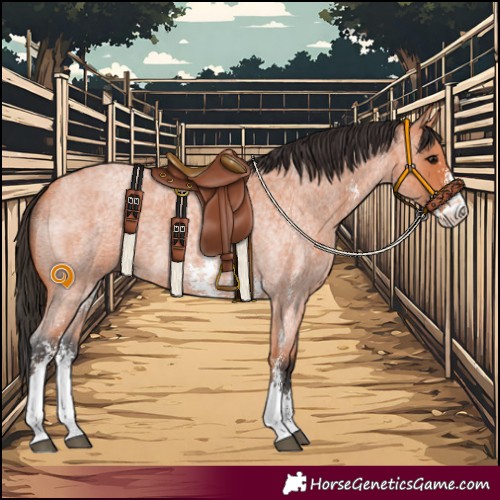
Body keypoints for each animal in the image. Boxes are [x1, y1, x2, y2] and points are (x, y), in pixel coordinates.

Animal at [15, 108, 468, 453]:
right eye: (431, 158)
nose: (459, 210)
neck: (300, 201)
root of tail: (48, 193)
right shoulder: (287, 298)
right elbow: (279, 359)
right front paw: (281, 431)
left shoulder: (298, 301)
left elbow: (290, 360)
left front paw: (293, 425)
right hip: (68, 290)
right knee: (41, 347)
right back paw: (40, 435)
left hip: (87, 290)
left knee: (66, 351)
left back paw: (74, 431)